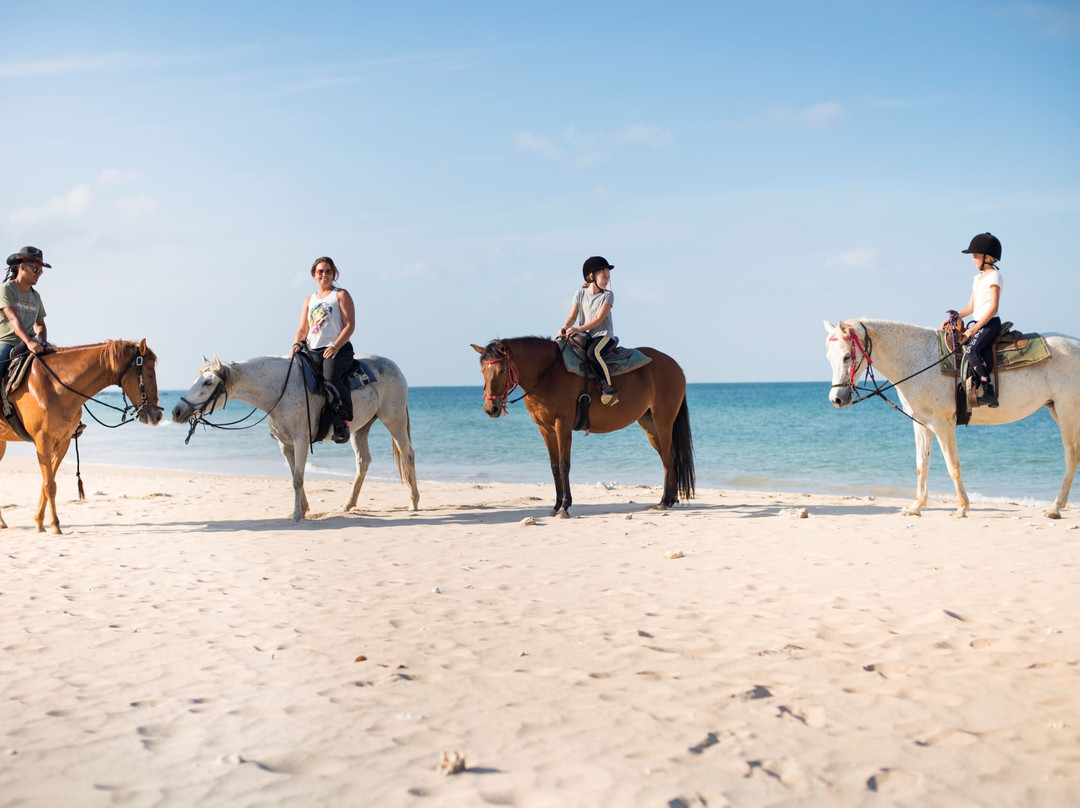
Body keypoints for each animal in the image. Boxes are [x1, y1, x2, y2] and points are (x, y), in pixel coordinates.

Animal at [0, 339, 163, 534]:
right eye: (149, 374)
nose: (158, 416)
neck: (55, 386)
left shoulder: (62, 442)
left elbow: (48, 482)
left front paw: (39, 522)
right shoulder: (42, 441)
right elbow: (49, 485)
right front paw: (55, 525)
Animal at [170, 354, 419, 522]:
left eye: (208, 382)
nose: (177, 411)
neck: (279, 390)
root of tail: (395, 367)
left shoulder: (300, 441)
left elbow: (298, 478)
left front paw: (297, 515)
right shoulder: (285, 444)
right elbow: (293, 476)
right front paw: (303, 509)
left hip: (394, 420)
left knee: (407, 455)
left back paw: (414, 502)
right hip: (361, 428)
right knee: (363, 461)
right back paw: (349, 504)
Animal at [471, 337, 694, 517]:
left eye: (501, 370)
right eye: (482, 371)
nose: (491, 408)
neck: (549, 374)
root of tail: (675, 365)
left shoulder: (562, 425)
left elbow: (564, 465)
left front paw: (564, 506)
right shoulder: (545, 429)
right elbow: (554, 467)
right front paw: (555, 505)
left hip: (663, 421)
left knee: (669, 458)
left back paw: (665, 501)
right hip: (650, 425)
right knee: (668, 458)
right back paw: (669, 499)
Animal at [825, 319, 1080, 518]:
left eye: (847, 357)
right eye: (829, 358)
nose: (836, 399)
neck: (918, 361)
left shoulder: (942, 424)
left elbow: (952, 465)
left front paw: (962, 507)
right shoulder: (922, 425)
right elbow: (921, 465)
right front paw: (916, 507)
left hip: (1067, 411)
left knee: (1071, 456)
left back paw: (1055, 508)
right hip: (1056, 409)